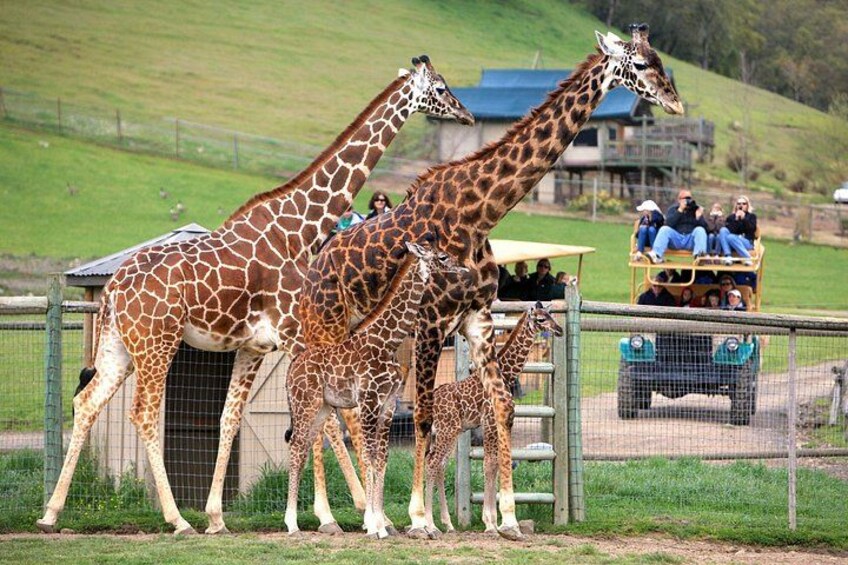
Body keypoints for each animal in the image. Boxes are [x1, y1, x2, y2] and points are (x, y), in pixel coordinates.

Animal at [285, 242, 465, 538]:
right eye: (442, 256)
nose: (463, 269)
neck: (387, 341)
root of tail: (292, 367)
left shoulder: (388, 403)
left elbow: (382, 459)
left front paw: (380, 521)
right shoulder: (369, 400)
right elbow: (369, 457)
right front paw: (373, 525)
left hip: (322, 408)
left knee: (302, 449)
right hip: (305, 404)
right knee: (297, 447)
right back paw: (291, 524)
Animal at [426, 302, 563, 534]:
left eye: (550, 315)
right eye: (541, 319)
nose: (559, 330)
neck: (506, 374)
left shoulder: (501, 423)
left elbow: (498, 463)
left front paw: (497, 522)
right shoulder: (490, 422)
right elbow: (490, 464)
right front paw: (490, 523)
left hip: (445, 433)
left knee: (438, 464)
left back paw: (447, 524)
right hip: (447, 431)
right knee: (433, 464)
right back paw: (429, 524)